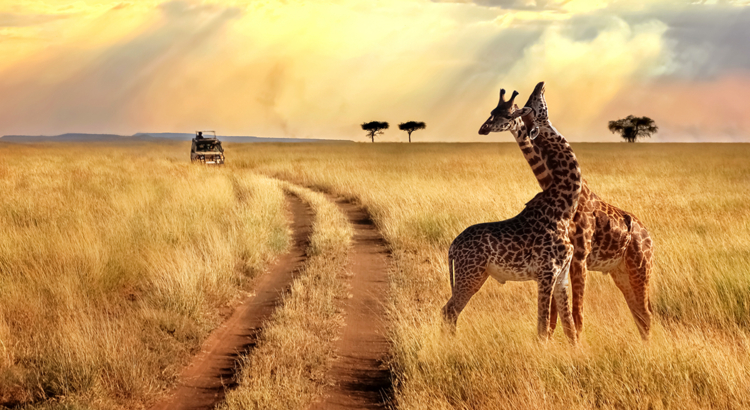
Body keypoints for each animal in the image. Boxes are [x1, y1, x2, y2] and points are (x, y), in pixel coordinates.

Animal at [444, 88, 584, 344]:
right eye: (534, 105)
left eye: (507, 113)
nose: (483, 128)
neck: (564, 209)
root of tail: (452, 247)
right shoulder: (546, 273)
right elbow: (542, 328)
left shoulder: (561, 276)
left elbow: (570, 329)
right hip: (471, 274)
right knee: (449, 311)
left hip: (474, 275)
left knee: (450, 311)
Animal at [524, 81, 656, 342]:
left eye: (534, 102)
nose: (540, 85)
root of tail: (649, 237)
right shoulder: (565, 260)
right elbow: (557, 314)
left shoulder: (579, 258)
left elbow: (576, 313)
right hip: (621, 272)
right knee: (639, 313)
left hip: (640, 268)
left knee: (645, 314)